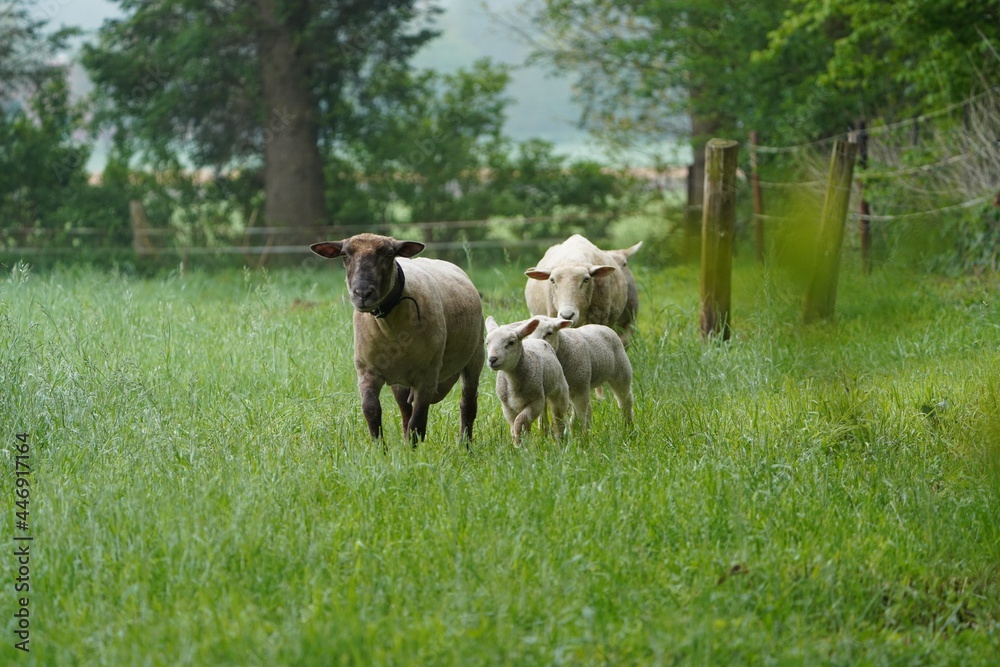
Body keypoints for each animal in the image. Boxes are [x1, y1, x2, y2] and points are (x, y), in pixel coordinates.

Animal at [310, 233, 485, 445]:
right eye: (344, 254)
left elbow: (418, 423)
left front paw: (411, 451)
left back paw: (465, 445)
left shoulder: (427, 377)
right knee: (404, 409)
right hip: (400, 380)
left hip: (475, 357)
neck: (390, 326)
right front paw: (379, 449)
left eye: (389, 253)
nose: (362, 294)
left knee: (467, 404)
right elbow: (371, 410)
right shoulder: (367, 371)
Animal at [485, 316, 571, 445]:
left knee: (558, 417)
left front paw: (520, 443)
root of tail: (536, 340)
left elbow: (519, 422)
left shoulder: (535, 402)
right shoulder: (507, 406)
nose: (492, 359)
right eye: (487, 343)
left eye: (511, 342)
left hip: (559, 390)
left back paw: (560, 439)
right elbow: (515, 424)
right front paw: (519, 444)